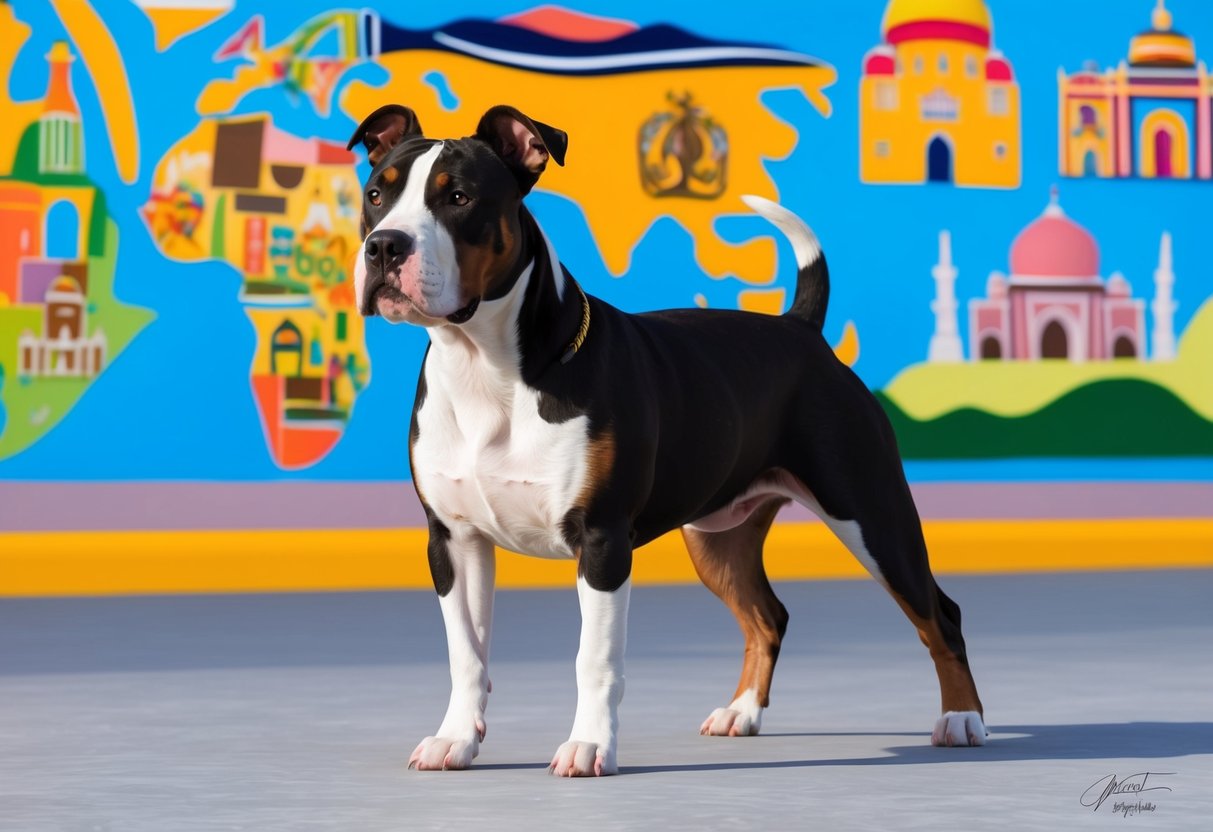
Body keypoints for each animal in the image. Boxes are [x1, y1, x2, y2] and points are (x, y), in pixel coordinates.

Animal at [344, 106, 984, 781]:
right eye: (377, 195)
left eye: (460, 198)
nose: (384, 245)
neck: (486, 368)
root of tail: (801, 330)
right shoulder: (454, 540)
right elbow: (465, 653)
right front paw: (455, 740)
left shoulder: (601, 541)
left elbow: (594, 659)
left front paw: (589, 746)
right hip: (719, 538)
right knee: (768, 616)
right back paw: (741, 712)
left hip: (873, 516)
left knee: (939, 615)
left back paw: (962, 719)